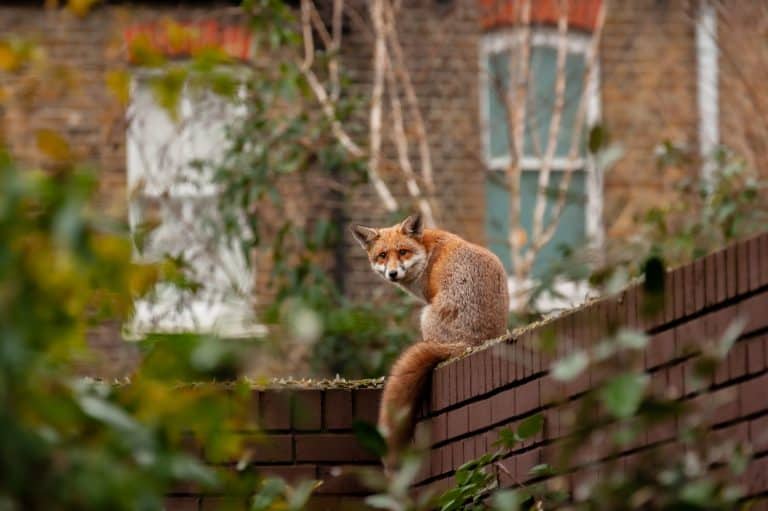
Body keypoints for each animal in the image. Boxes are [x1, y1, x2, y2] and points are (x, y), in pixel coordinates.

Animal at [350, 213, 509, 468]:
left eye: (403, 252)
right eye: (382, 255)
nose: (392, 274)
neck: (427, 252)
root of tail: (471, 343)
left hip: (424, 316)